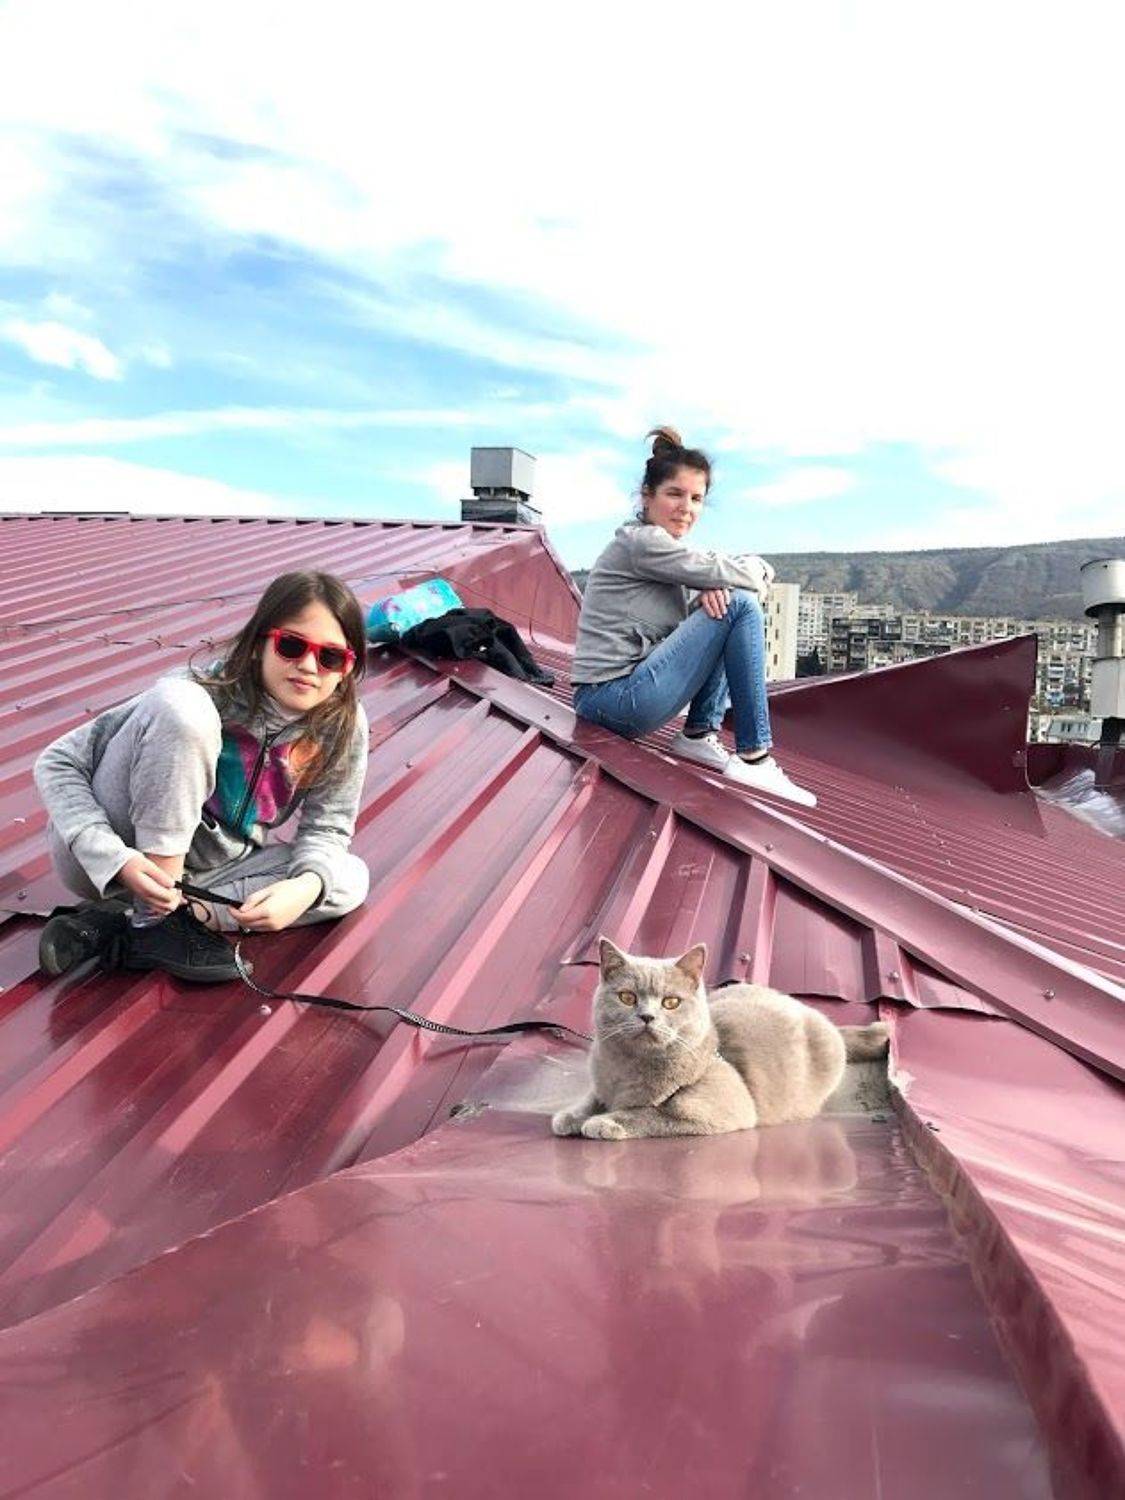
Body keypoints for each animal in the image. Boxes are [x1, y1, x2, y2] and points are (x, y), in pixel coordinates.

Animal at [552, 937, 889, 1141]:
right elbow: (591, 1098)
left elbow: (650, 1113)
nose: (647, 1016)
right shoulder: (603, 1085)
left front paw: (605, 1121)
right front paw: (570, 1116)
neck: (628, 1068)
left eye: (670, 1002)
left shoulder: (719, 1109)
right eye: (627, 997)